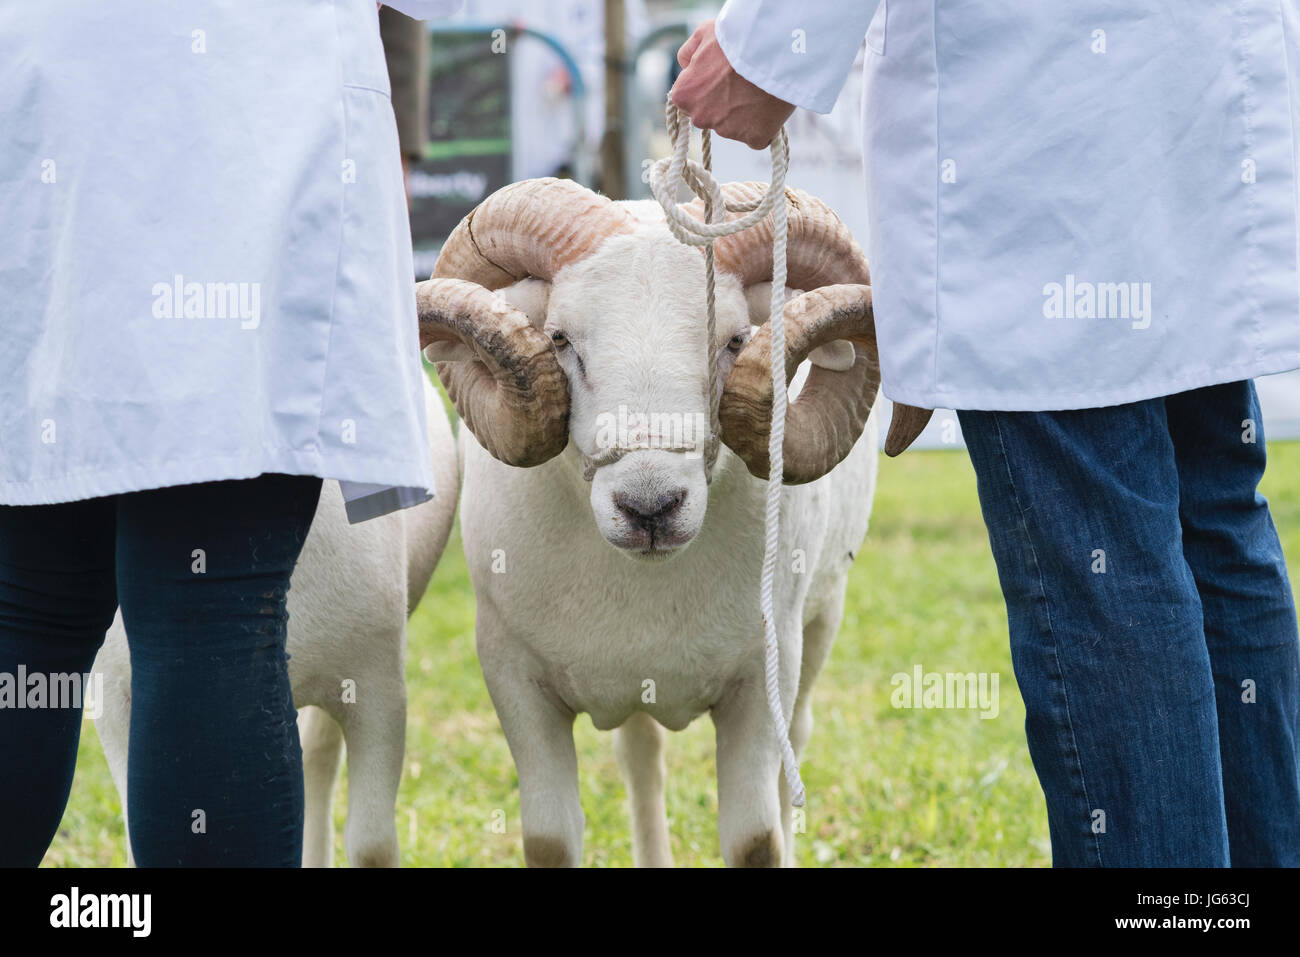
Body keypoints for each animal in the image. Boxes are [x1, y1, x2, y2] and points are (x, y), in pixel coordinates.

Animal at [416, 177, 928, 867]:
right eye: (561, 339)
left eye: (735, 341)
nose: (650, 506)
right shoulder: (513, 676)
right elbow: (549, 838)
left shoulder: (762, 678)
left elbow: (757, 838)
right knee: (641, 757)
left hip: (821, 624)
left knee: (794, 744)